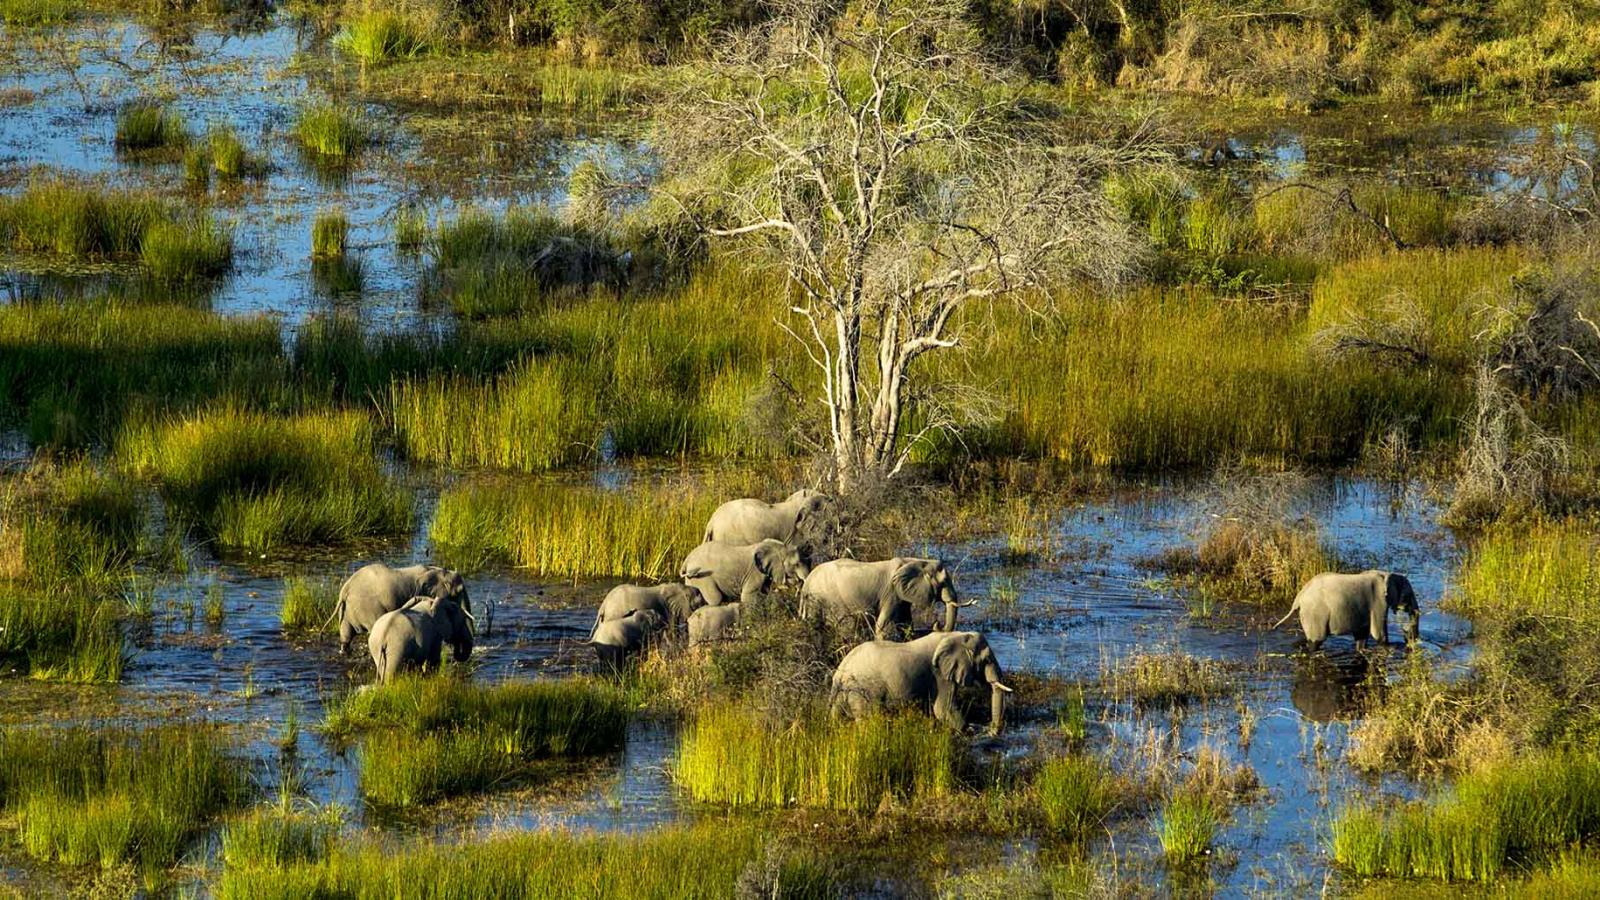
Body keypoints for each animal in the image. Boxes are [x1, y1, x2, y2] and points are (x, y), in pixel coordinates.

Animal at [334, 563, 471, 655]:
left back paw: (345, 652)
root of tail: (345, 589)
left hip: (349, 610)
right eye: (459, 591)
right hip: (369, 607)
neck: (439, 571)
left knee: (346, 635)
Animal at [679, 539, 811, 607]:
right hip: (702, 578)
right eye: (796, 564)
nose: (796, 593)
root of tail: (687, 560)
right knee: (715, 599)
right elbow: (747, 597)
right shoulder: (755, 573)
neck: (779, 547)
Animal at [800, 557, 974, 640]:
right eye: (943, 582)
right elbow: (882, 625)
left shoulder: (902, 594)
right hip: (826, 599)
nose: (937, 624)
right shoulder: (891, 593)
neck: (917, 561)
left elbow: (905, 623)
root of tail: (806, 583)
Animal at [830, 631, 1013, 734]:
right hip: (862, 692)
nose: (991, 728)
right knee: (867, 720)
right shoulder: (940, 675)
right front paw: (969, 731)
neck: (955, 635)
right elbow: (943, 709)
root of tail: (839, 674)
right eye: (986, 660)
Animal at [1272, 570, 1421, 651]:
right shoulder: (1379, 602)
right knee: (1316, 641)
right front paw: (1391, 648)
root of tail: (1299, 598)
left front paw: (1361, 650)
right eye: (1408, 595)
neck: (1387, 574)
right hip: (1315, 614)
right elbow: (1379, 634)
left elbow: (1362, 635)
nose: (1409, 641)